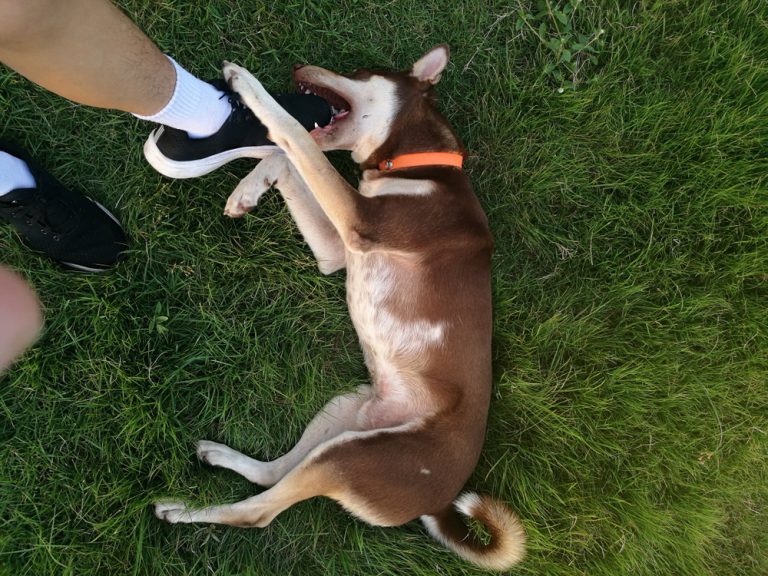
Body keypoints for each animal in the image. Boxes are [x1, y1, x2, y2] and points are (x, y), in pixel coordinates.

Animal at [156, 46, 528, 572]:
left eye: (359, 72)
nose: (297, 68)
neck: (414, 165)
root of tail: (440, 504)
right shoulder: (339, 250)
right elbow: (290, 159)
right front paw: (250, 185)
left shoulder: (360, 221)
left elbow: (292, 133)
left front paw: (247, 86)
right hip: (347, 410)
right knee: (273, 475)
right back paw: (219, 459)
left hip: (350, 459)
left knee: (258, 514)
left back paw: (181, 511)